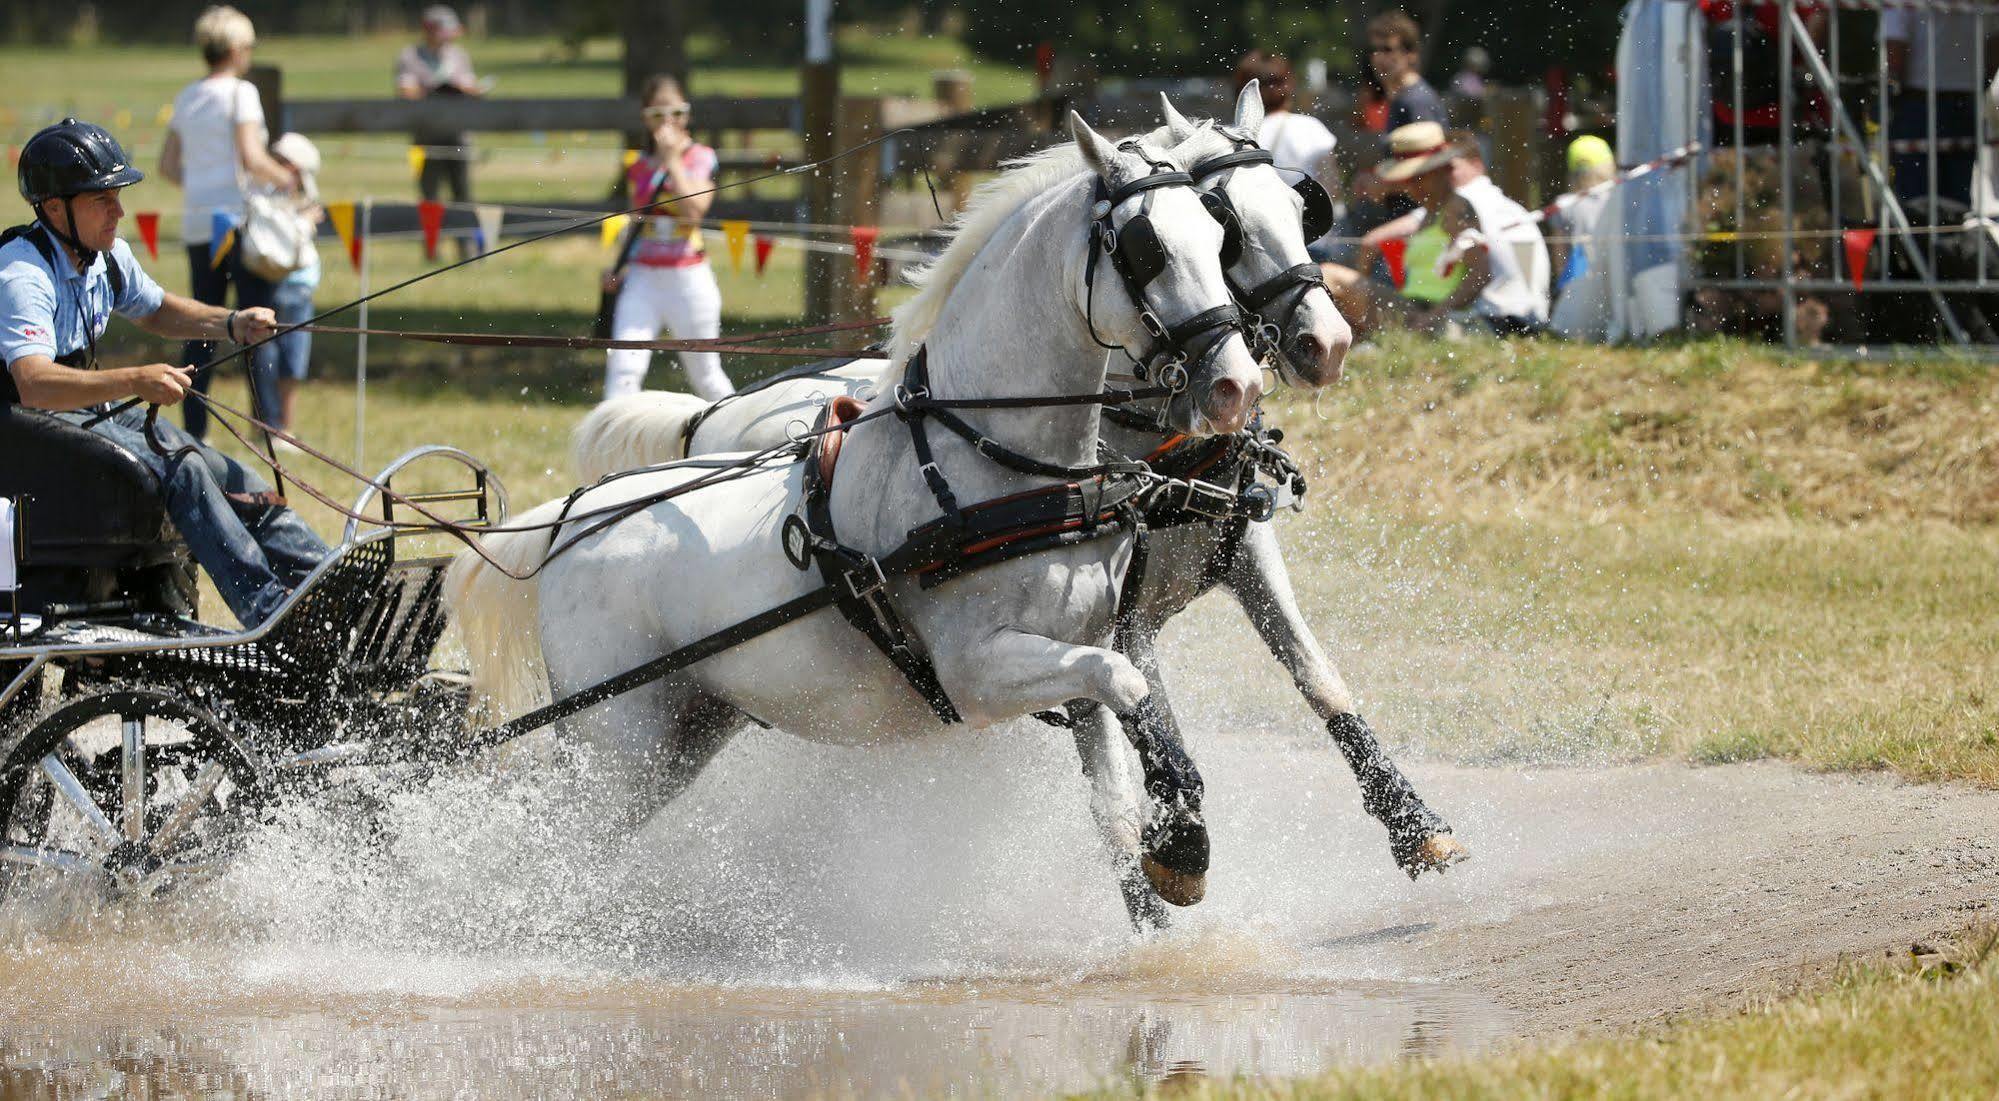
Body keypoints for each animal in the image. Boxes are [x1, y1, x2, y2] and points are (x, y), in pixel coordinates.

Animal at [455, 116, 1263, 915]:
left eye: (1216, 233)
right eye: (1145, 248)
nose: (1238, 386)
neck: (984, 463)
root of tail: (571, 518)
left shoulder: (1083, 644)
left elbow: (1119, 785)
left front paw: (1172, 847)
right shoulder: (975, 674)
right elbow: (1125, 685)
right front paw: (1181, 843)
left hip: (677, 735)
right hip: (616, 743)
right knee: (550, 845)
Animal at [563, 88, 1471, 931]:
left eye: (1296, 206)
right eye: (1226, 227)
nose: (1325, 343)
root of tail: (706, 421)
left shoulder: (1237, 553)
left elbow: (1317, 677)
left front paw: (1415, 823)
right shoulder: (1123, 617)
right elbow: (1145, 711)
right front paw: (1176, 838)